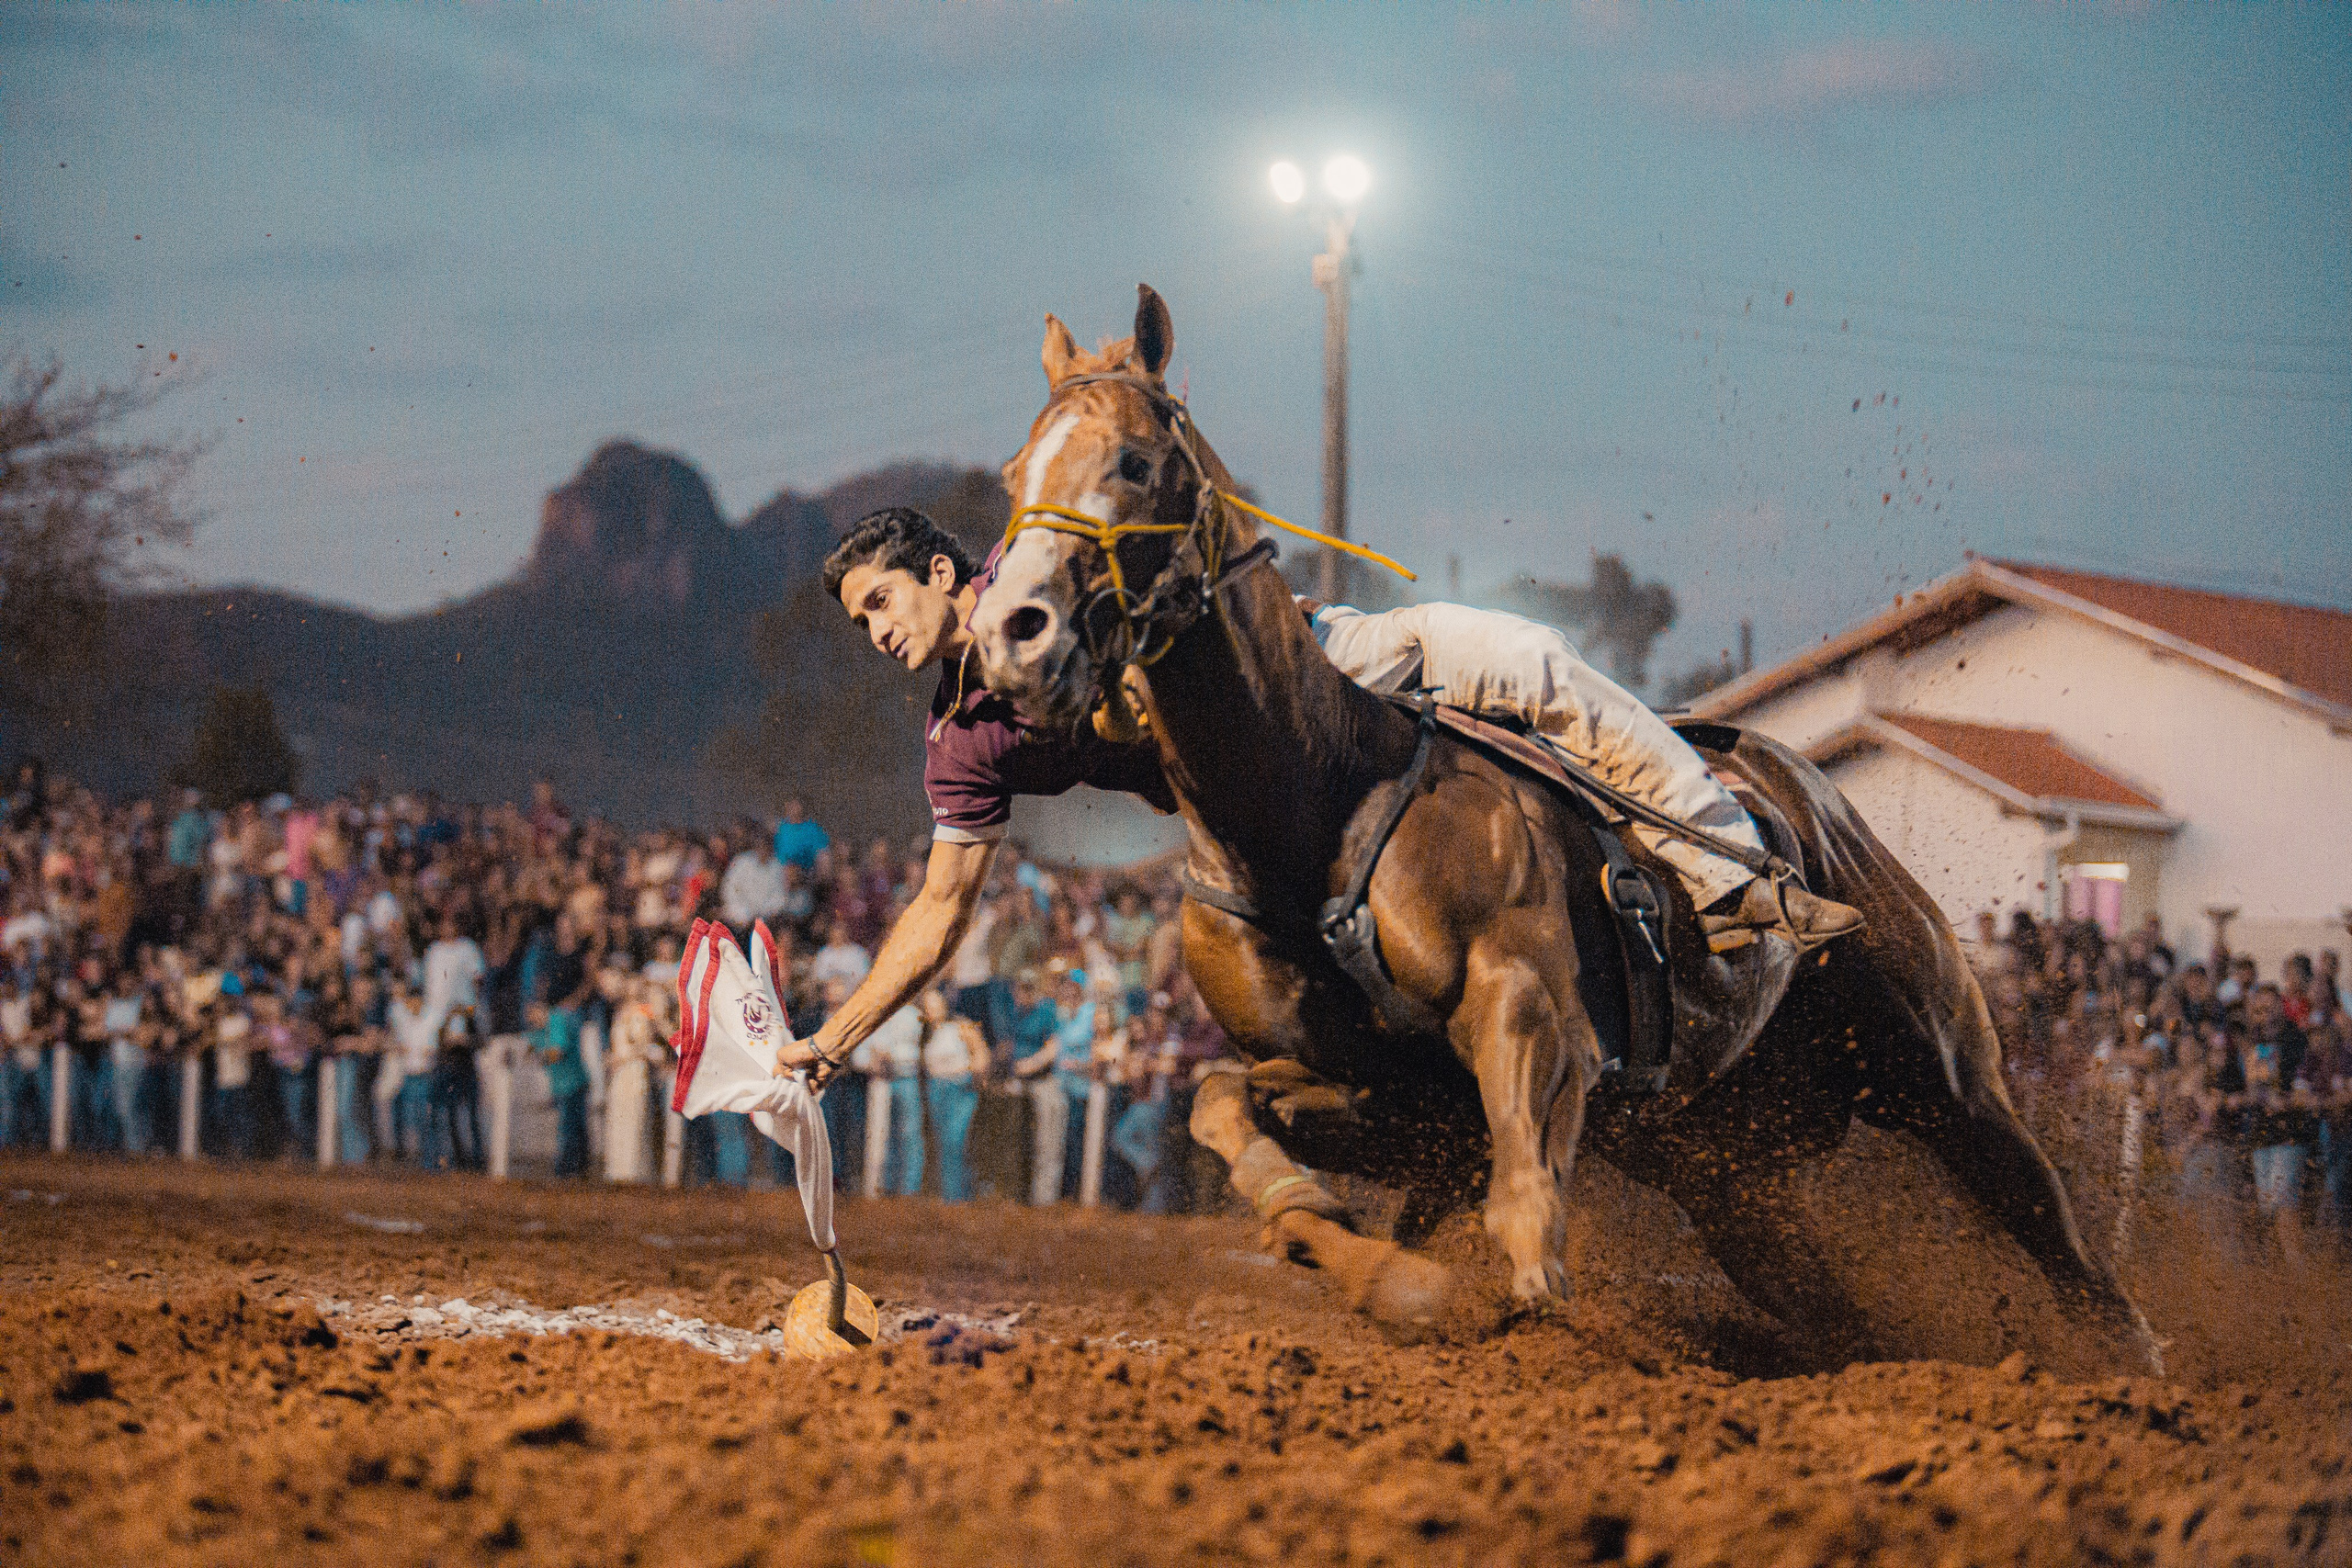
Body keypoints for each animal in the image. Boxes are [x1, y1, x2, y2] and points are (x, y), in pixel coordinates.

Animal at [967, 284, 2161, 1374]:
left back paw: (2134, 1370)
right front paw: (1393, 1278)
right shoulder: (1393, 1100)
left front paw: (1504, 1296)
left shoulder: (1530, 1020)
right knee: (1828, 1306)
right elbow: (1228, 1110)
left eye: (1131, 462)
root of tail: (1803, 796)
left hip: (1938, 1069)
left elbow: (1525, 1204)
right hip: (1721, 1167)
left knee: (2053, 1229)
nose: (1011, 631)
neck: (1315, 801)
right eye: (1013, 476)